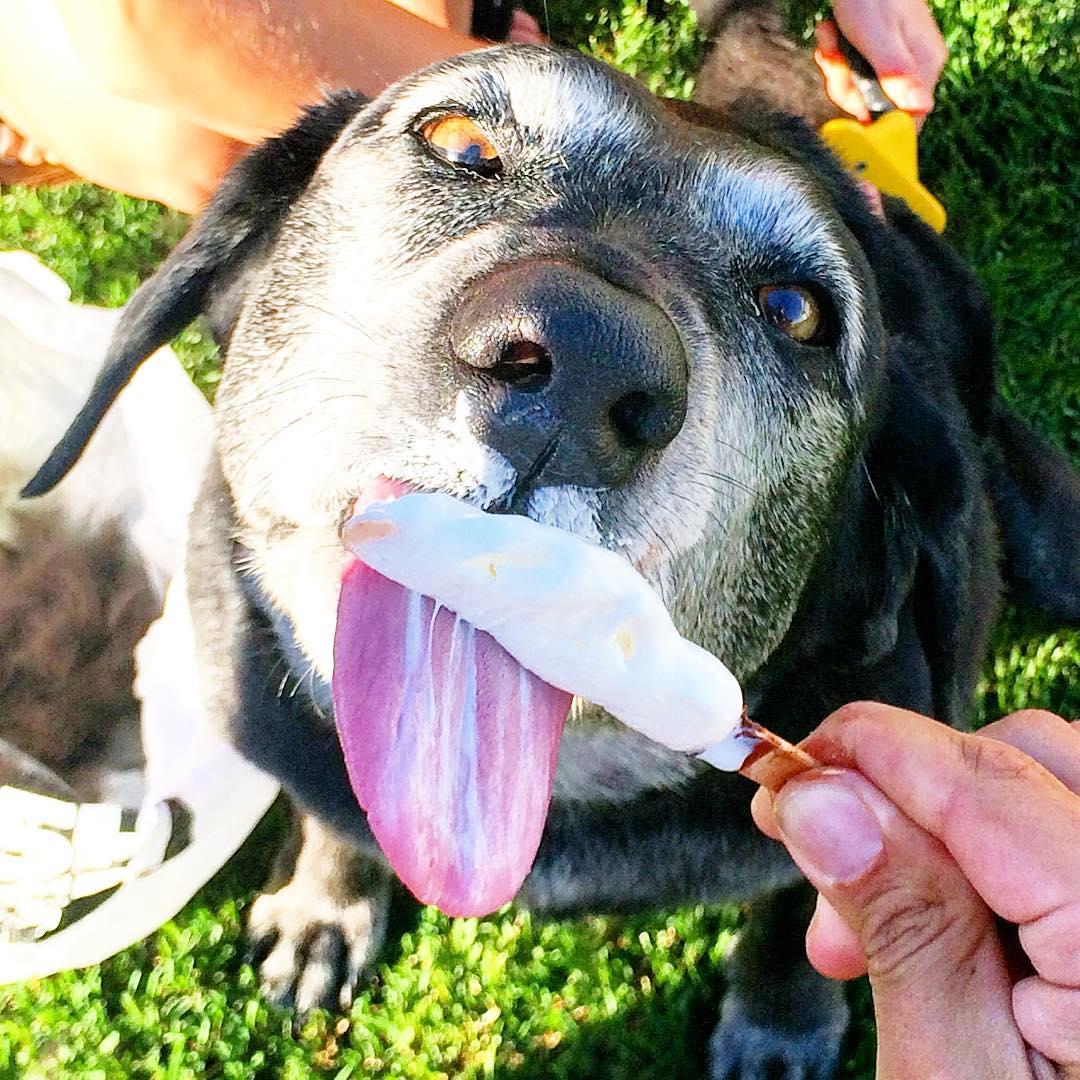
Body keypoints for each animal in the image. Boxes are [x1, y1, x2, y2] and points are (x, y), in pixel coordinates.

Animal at [23, 44, 1080, 1080]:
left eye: (796, 310)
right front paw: (325, 906)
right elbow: (333, 815)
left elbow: (796, 914)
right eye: (458, 143)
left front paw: (782, 1021)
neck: (561, 791)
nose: (581, 361)